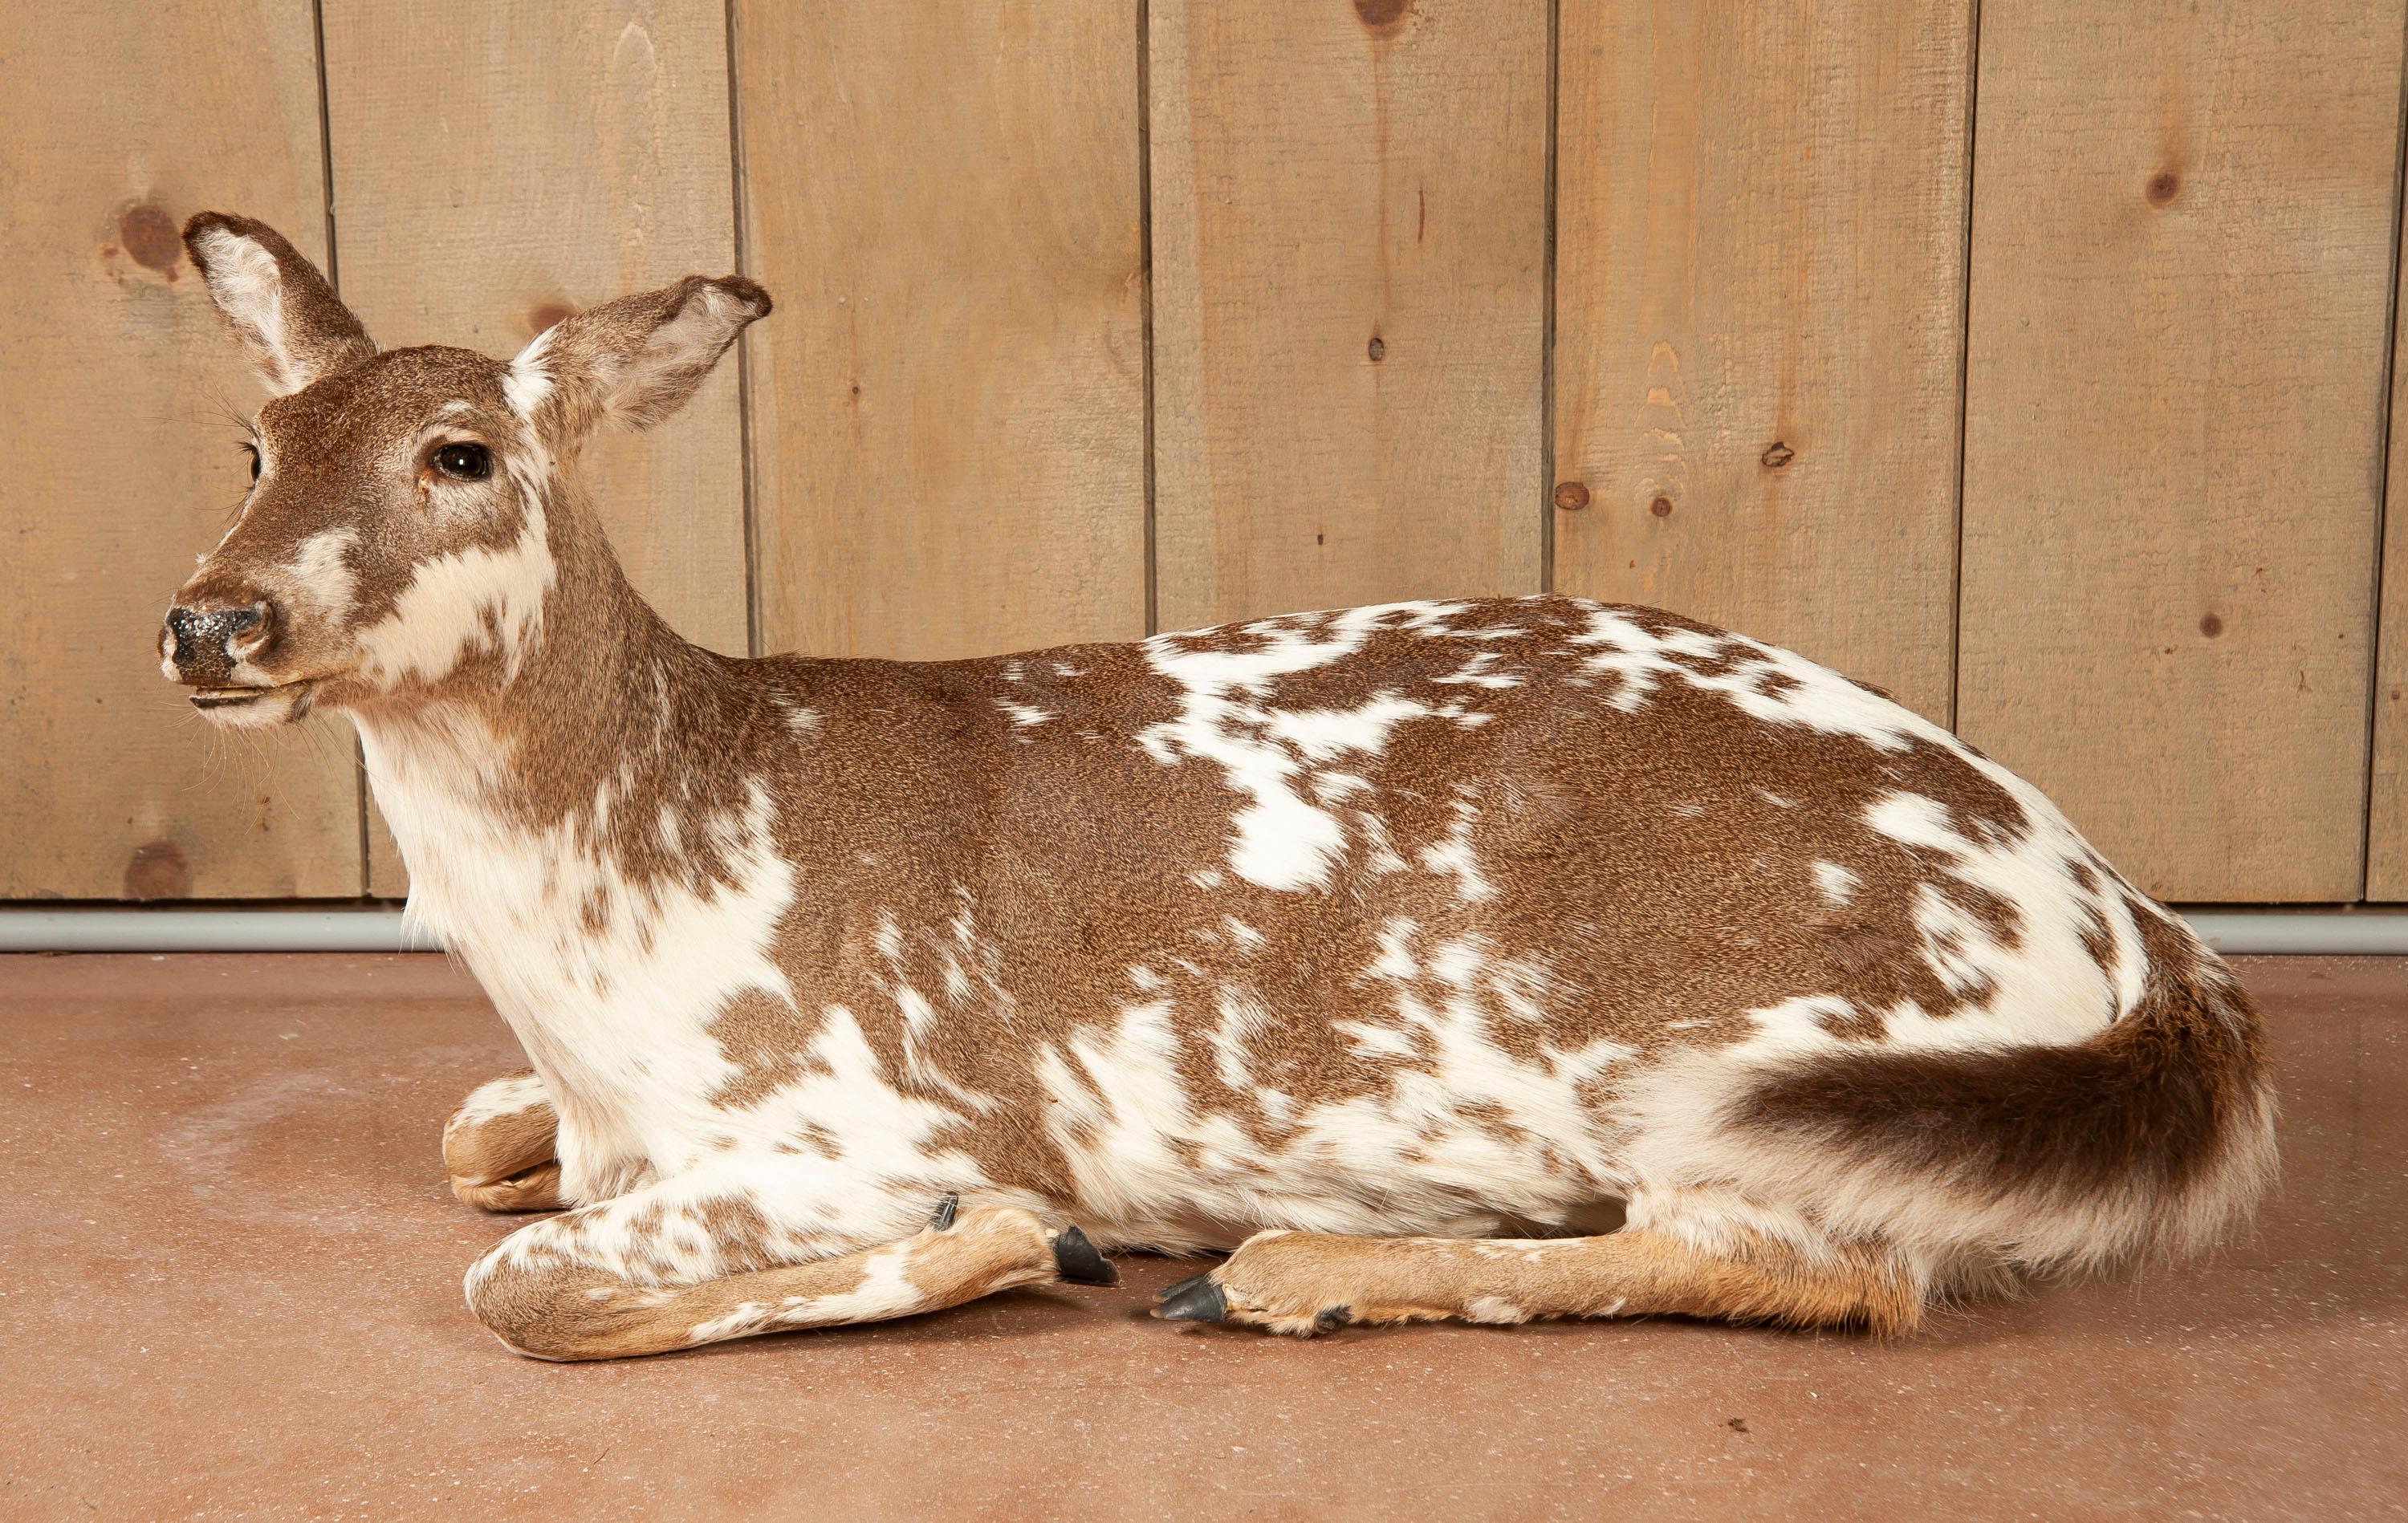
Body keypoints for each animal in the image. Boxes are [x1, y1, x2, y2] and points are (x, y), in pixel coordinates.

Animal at [165, 210, 2273, 1357]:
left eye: (459, 453)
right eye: (252, 442)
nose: (211, 620)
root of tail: (2134, 940)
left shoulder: (868, 1107)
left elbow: (518, 1289)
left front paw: (1019, 1236)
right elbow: (468, 1141)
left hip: (1740, 1048)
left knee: (1806, 1264)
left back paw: (1279, 1272)